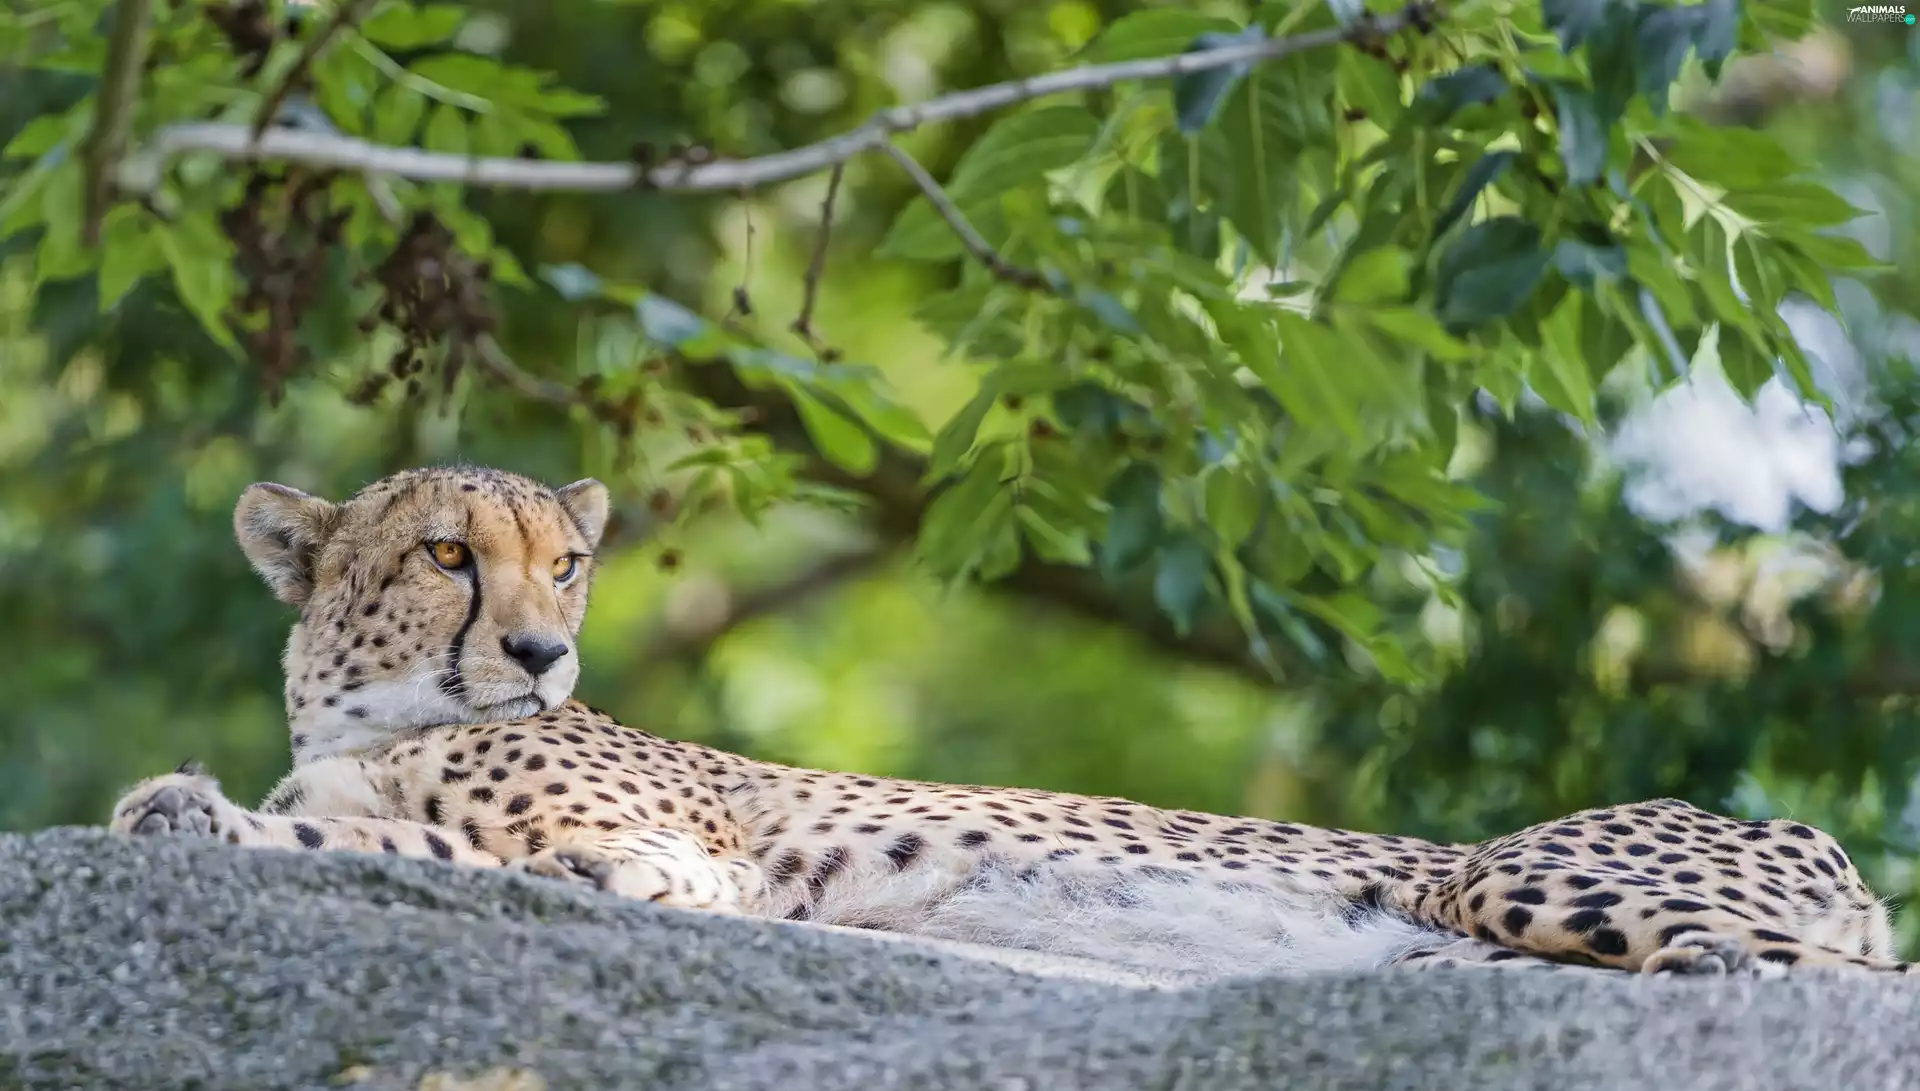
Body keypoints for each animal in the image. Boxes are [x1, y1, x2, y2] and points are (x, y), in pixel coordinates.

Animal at [106, 464, 1910, 981]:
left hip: (1519, 875)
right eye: (446, 554)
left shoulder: (673, 865)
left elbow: (407, 845)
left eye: (569, 560)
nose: (544, 651)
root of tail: (1793, 821)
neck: (373, 711)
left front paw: (192, 807)